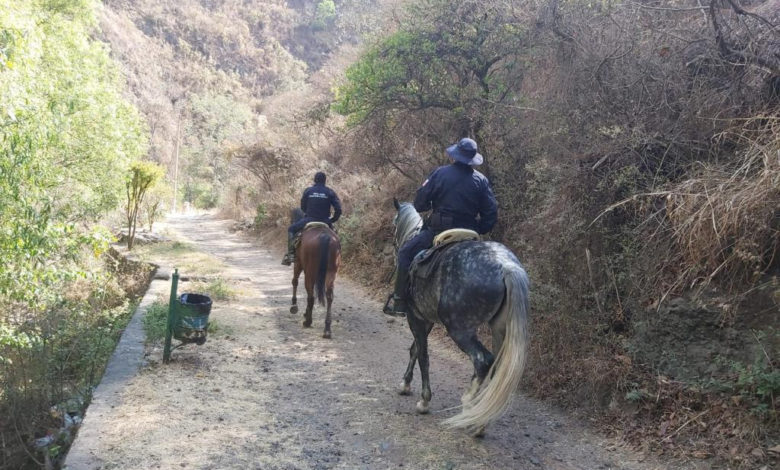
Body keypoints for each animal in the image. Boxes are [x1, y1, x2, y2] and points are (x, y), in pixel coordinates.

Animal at [289, 208, 342, 339]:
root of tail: (324, 236)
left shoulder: (298, 263)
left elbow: (294, 281)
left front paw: (294, 305)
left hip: (310, 273)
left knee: (310, 295)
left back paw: (308, 321)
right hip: (331, 273)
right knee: (329, 296)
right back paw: (327, 329)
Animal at [391, 199, 530, 436]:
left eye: (393, 224)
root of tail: (506, 266)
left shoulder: (415, 316)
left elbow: (423, 356)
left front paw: (424, 401)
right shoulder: (426, 319)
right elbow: (415, 350)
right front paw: (405, 384)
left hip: (460, 329)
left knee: (482, 361)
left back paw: (469, 405)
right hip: (499, 328)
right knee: (496, 366)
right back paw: (481, 419)